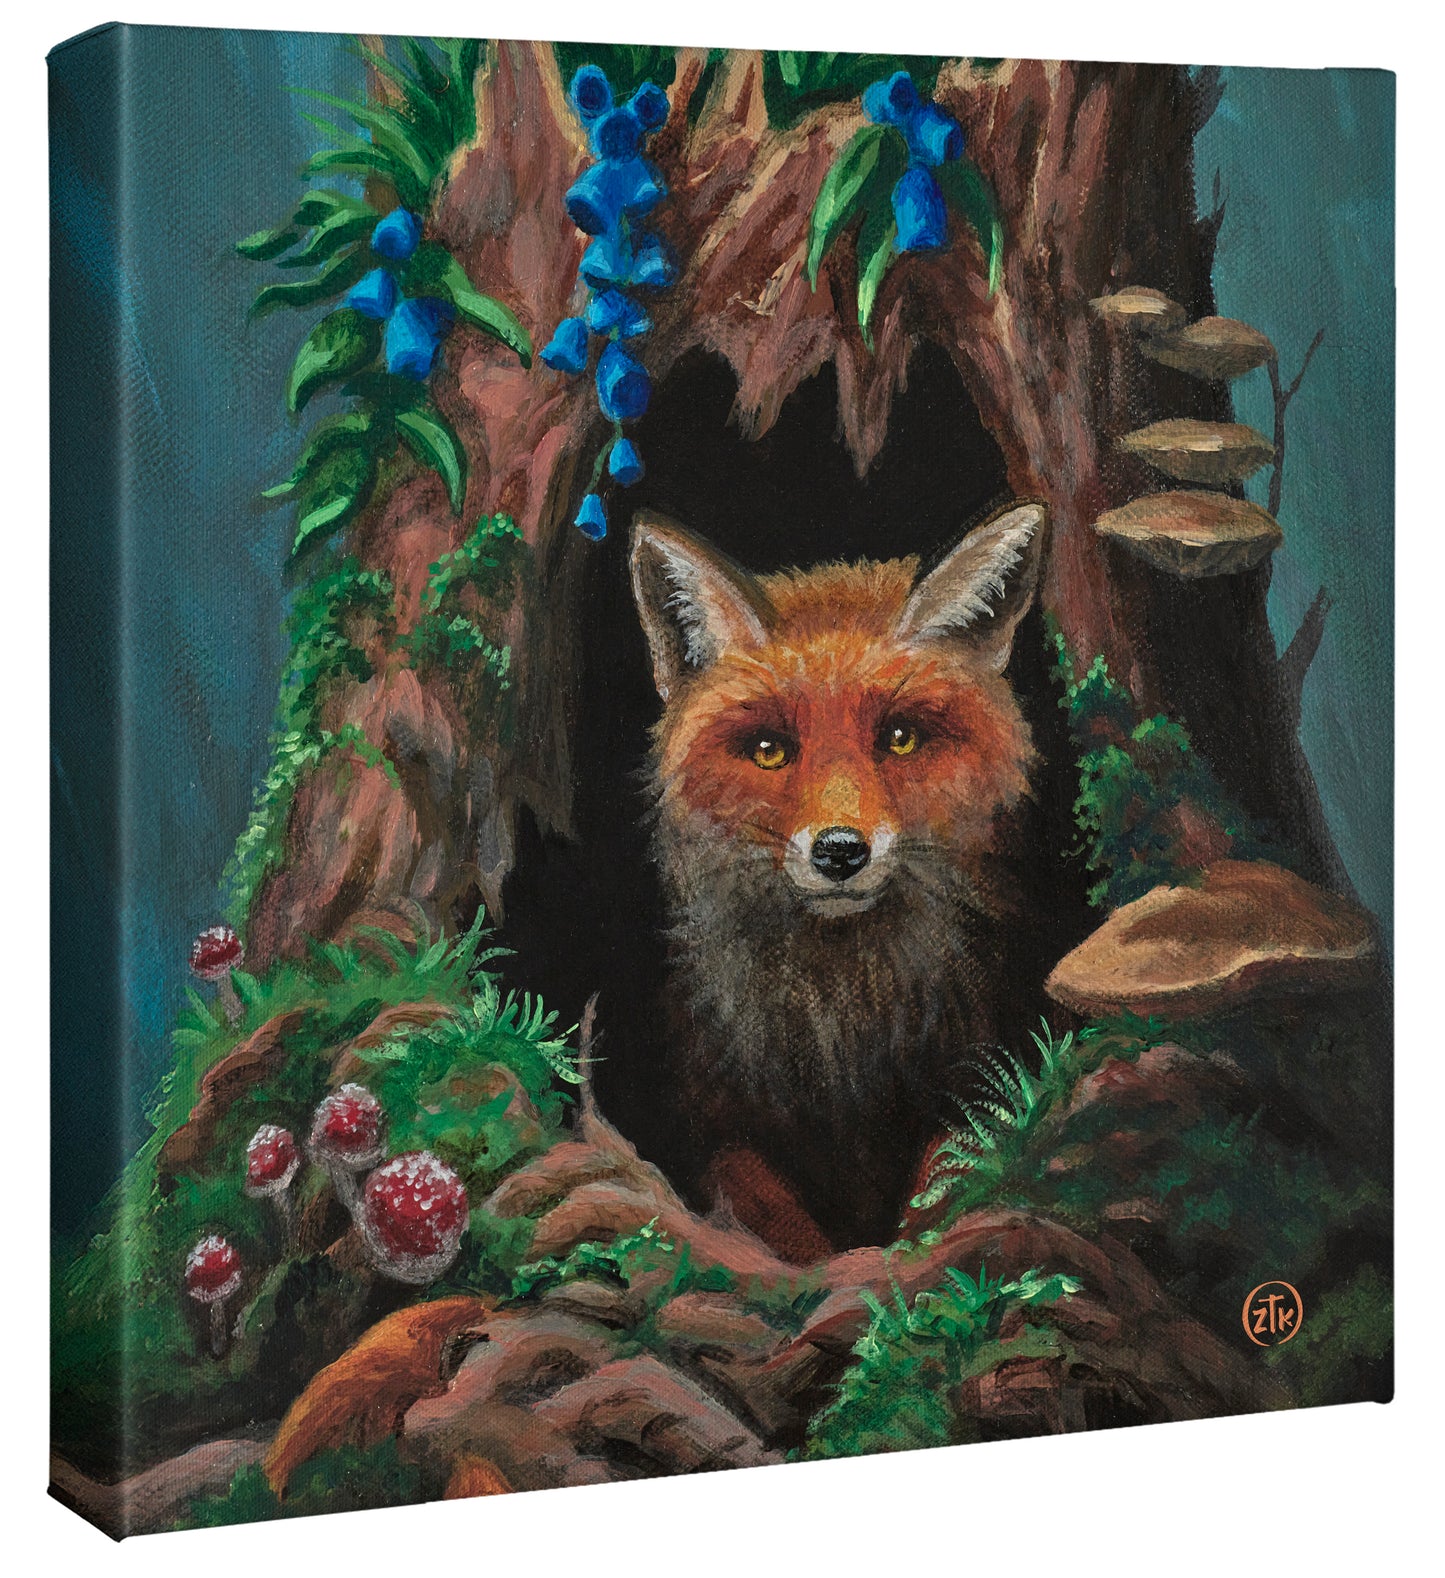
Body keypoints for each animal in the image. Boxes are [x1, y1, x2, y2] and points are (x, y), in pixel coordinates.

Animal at [629, 501, 1047, 1251]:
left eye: (900, 739)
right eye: (771, 750)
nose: (840, 852)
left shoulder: (972, 1085)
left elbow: (939, 1190)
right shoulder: (721, 1131)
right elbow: (778, 1224)